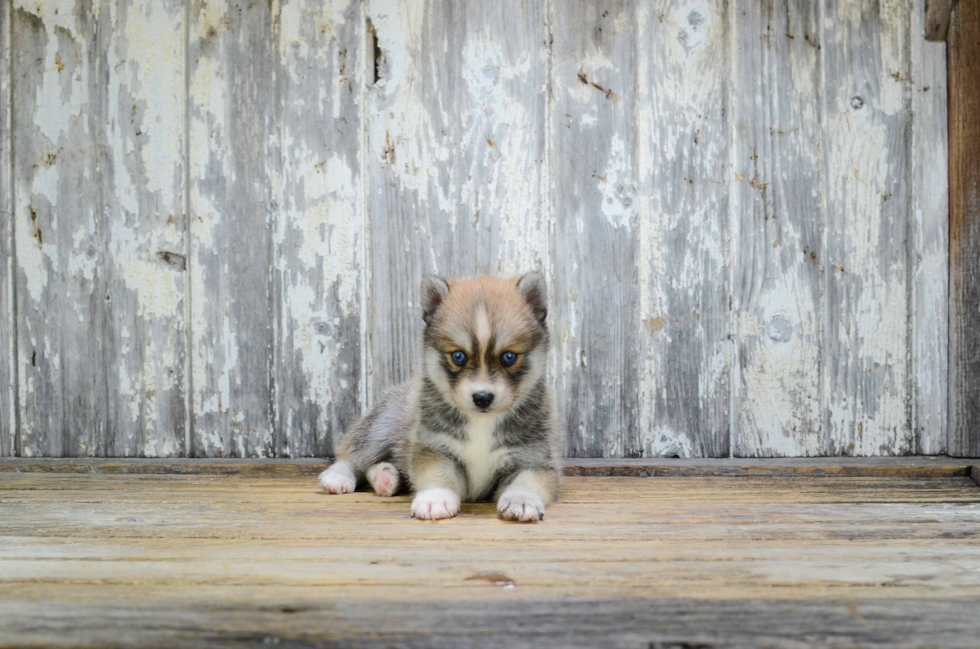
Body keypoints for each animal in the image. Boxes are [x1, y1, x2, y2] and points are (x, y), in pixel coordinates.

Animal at [320, 270, 560, 520]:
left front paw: (521, 500)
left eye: (509, 357)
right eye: (458, 356)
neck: (481, 423)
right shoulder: (435, 447)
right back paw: (339, 477)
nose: (482, 397)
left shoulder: (534, 459)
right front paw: (435, 498)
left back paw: (386, 478)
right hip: (382, 425)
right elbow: (438, 474)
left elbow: (527, 482)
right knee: (352, 455)